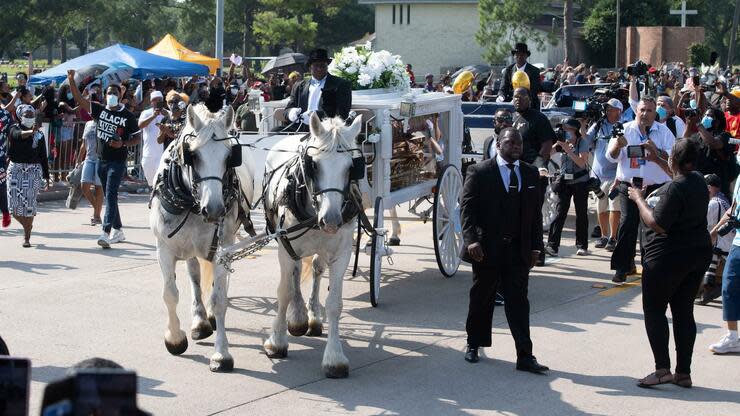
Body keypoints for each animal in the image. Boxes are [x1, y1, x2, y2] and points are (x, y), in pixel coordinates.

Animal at [149, 103, 241, 370]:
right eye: (194, 155)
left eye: (229, 156)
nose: (215, 209)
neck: (191, 204)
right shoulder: (163, 248)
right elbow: (170, 294)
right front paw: (175, 339)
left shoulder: (222, 247)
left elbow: (219, 299)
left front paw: (221, 354)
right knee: (194, 275)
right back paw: (200, 321)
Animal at [247, 113, 362, 376]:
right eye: (315, 165)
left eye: (351, 167)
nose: (331, 220)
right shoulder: (285, 248)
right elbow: (284, 292)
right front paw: (277, 342)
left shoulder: (342, 253)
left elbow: (334, 304)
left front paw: (334, 357)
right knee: (297, 272)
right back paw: (298, 316)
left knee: (317, 269)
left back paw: (312, 317)